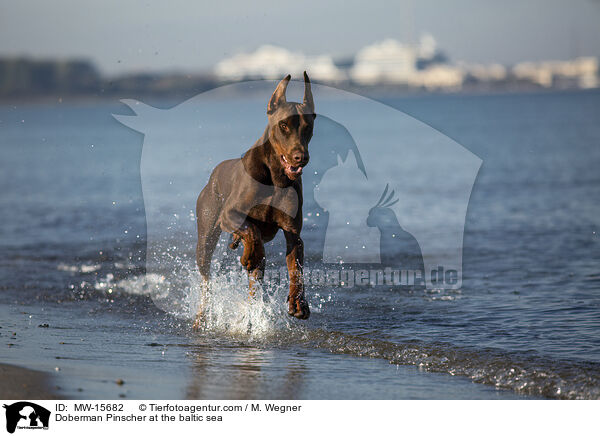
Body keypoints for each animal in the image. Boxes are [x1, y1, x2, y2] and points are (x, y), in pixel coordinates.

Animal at [195, 72, 316, 324]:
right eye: (283, 125)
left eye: (308, 127)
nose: (300, 157)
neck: (276, 177)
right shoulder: (229, 214)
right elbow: (251, 231)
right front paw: (251, 254)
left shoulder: (293, 232)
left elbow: (296, 267)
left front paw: (299, 302)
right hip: (206, 232)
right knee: (206, 279)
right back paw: (201, 317)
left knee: (254, 282)